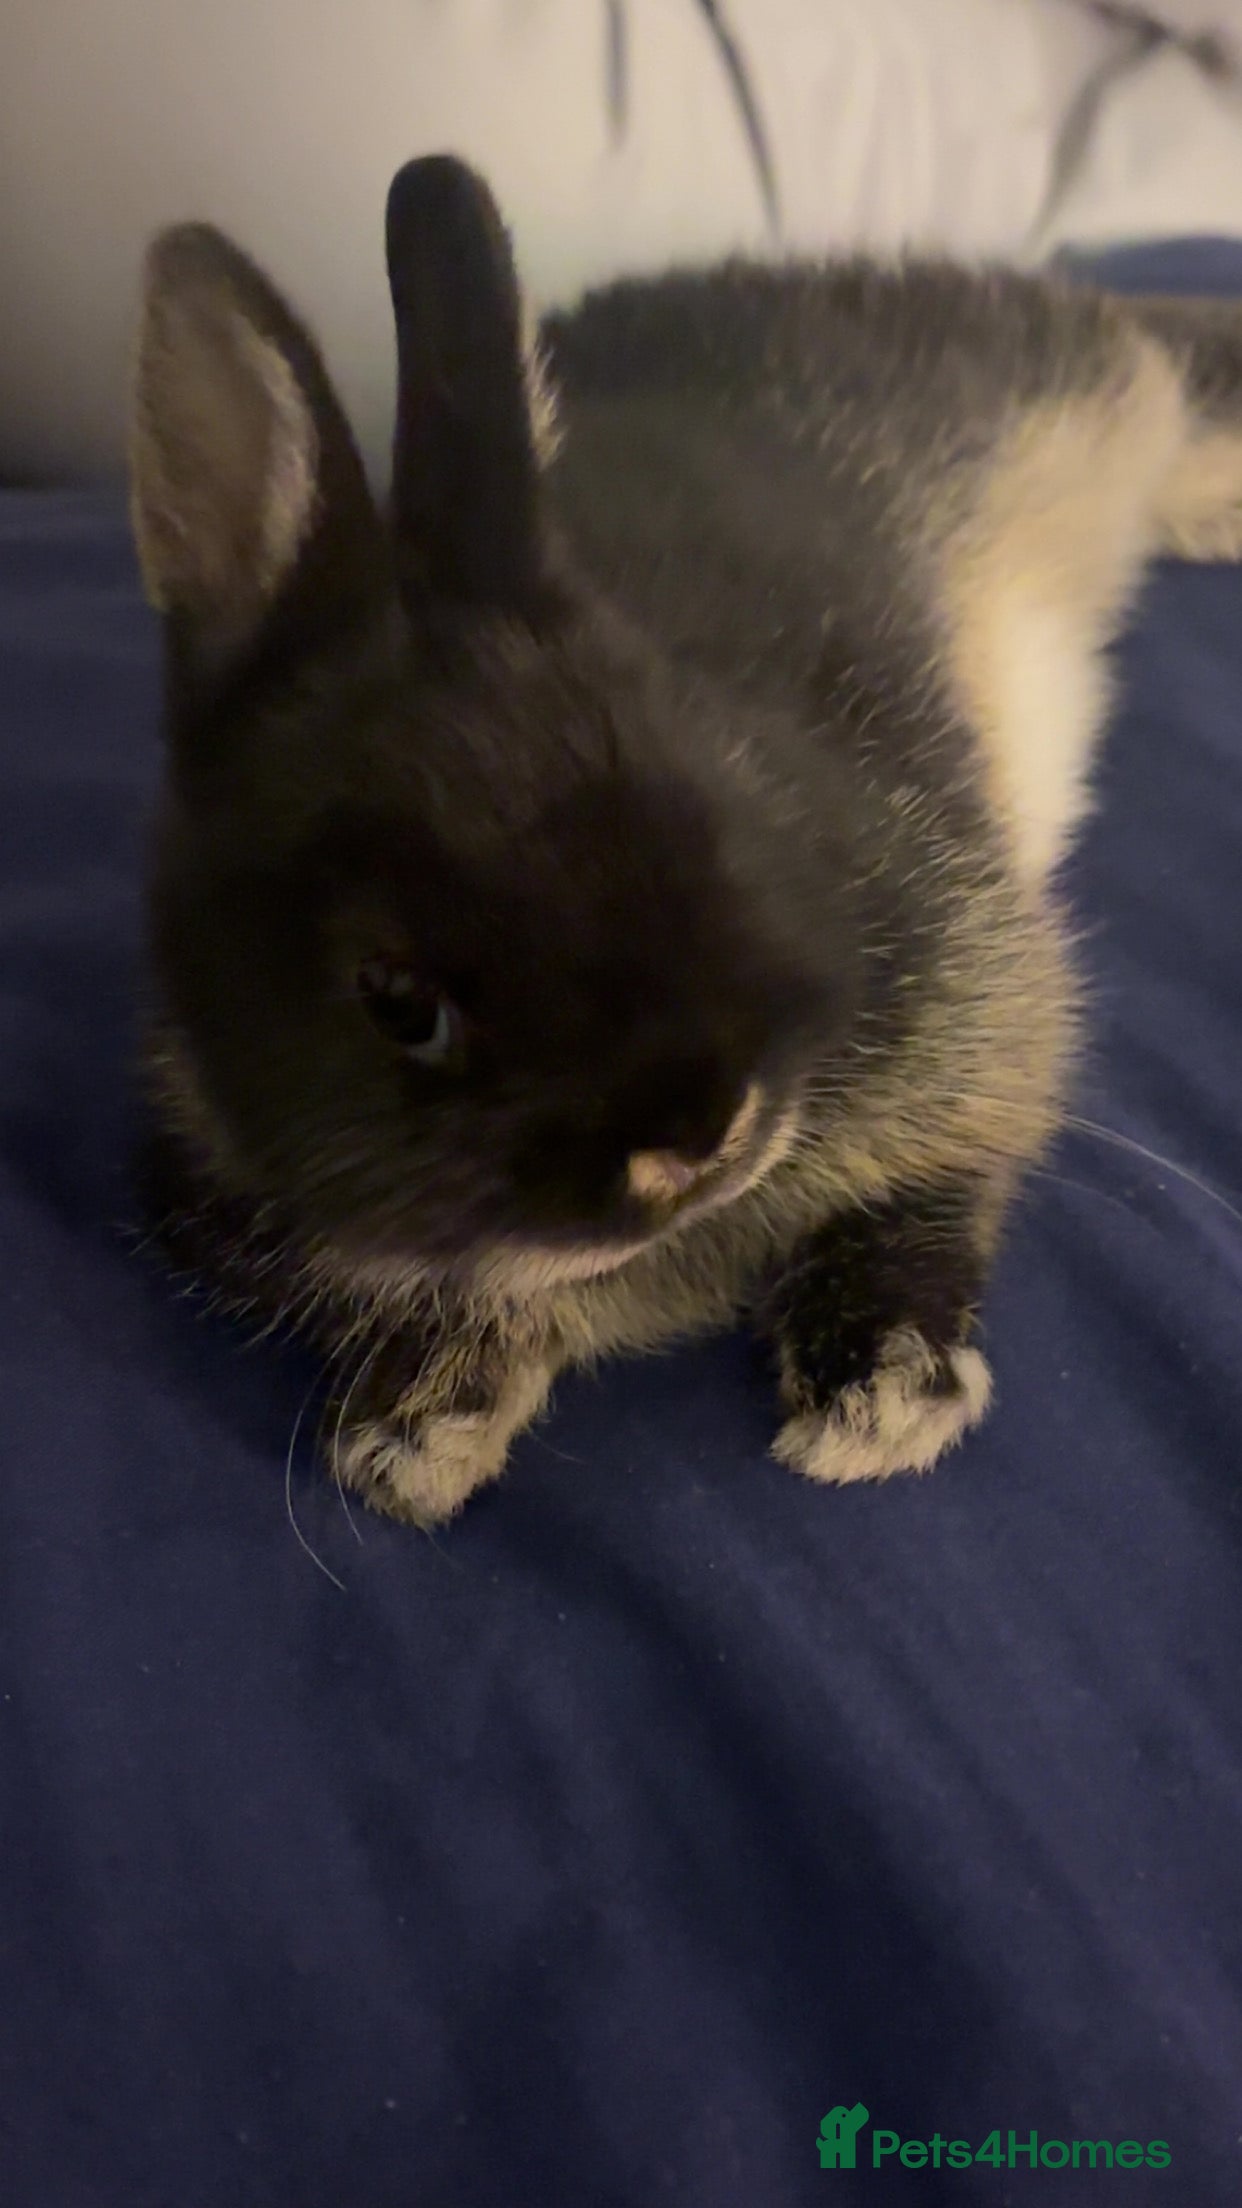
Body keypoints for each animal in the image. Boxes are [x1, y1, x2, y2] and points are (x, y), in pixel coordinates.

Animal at [129, 153, 1242, 1524]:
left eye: (706, 797)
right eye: (397, 1003)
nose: (705, 1133)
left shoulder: (989, 1013)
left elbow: (943, 1182)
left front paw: (879, 1399)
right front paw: (416, 1434)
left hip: (1079, 385)